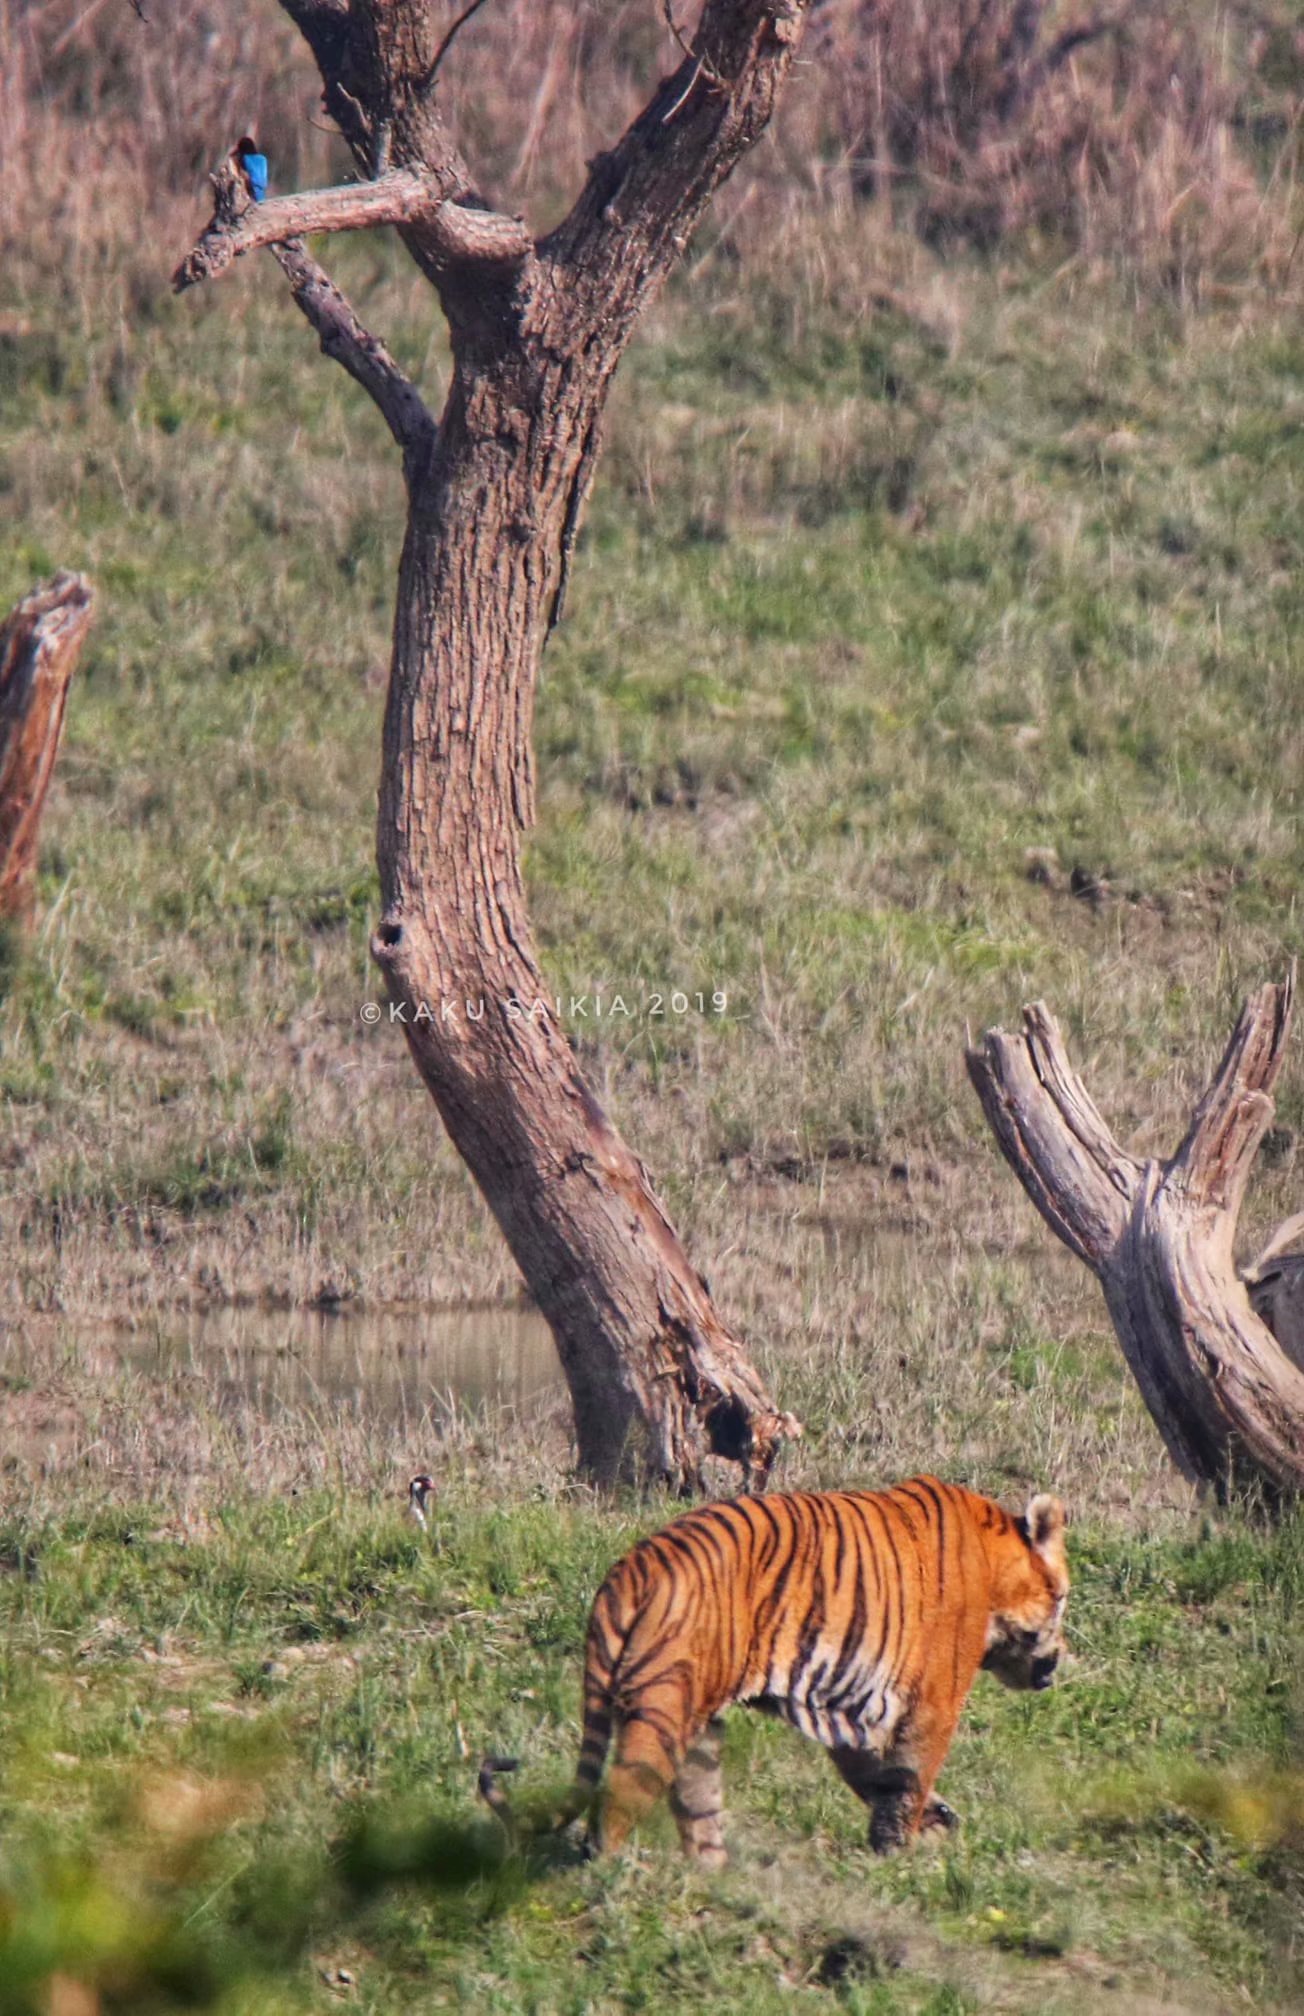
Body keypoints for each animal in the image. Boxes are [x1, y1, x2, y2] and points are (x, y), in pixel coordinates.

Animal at [480, 1475, 1067, 1865]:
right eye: (1062, 1597)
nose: (1057, 1662)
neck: (996, 1561)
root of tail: (635, 1565)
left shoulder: (851, 1709)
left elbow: (874, 1775)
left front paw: (932, 1821)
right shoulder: (934, 1701)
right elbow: (909, 1778)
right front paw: (898, 1854)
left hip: (699, 1720)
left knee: (697, 1806)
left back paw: (711, 1878)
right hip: (666, 1703)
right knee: (621, 1794)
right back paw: (610, 1874)